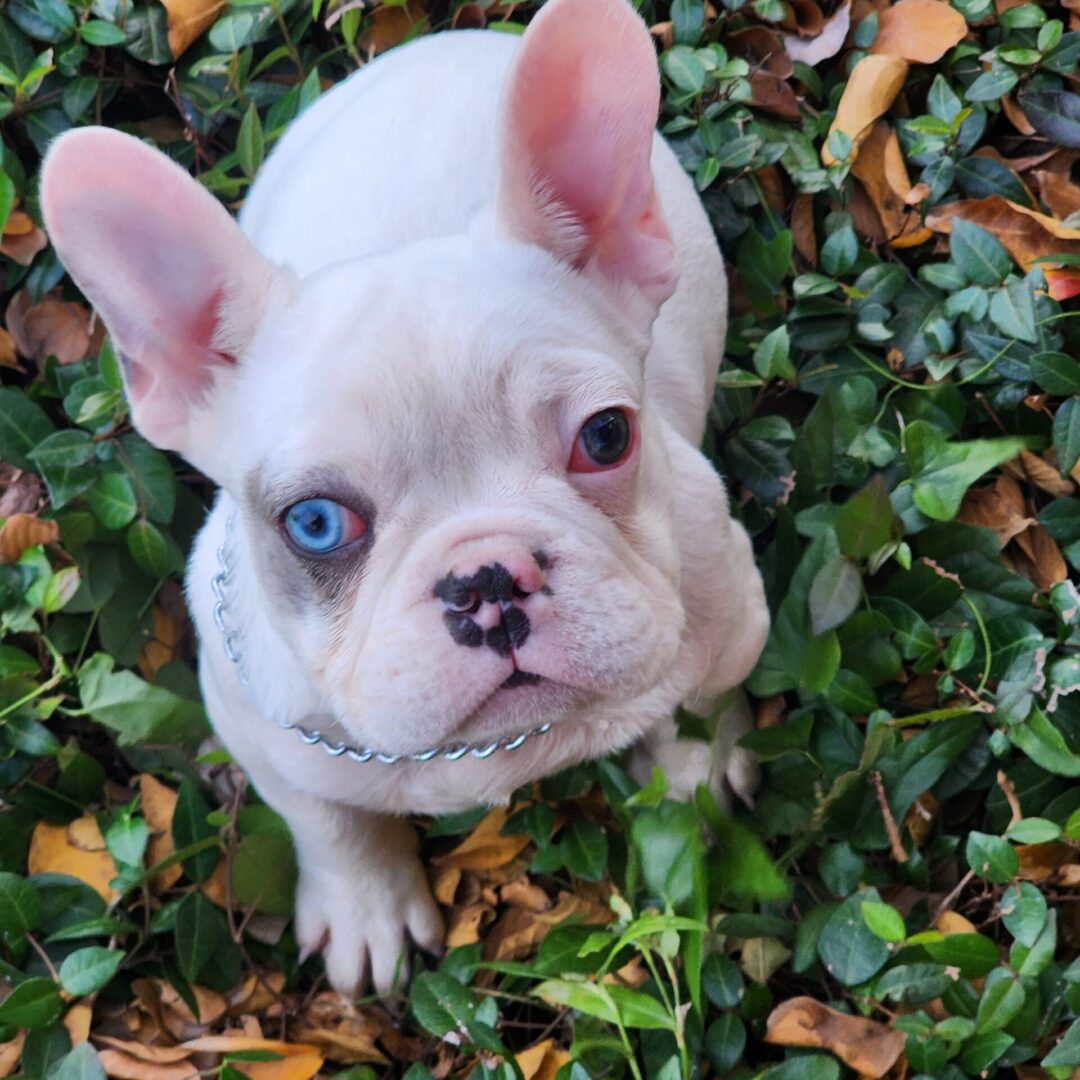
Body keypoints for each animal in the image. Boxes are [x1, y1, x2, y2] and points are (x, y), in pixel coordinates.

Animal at [39, 0, 768, 993]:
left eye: (607, 437)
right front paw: (365, 907)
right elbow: (330, 821)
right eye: (314, 523)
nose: (487, 578)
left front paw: (698, 767)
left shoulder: (731, 621)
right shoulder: (267, 736)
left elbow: (700, 705)